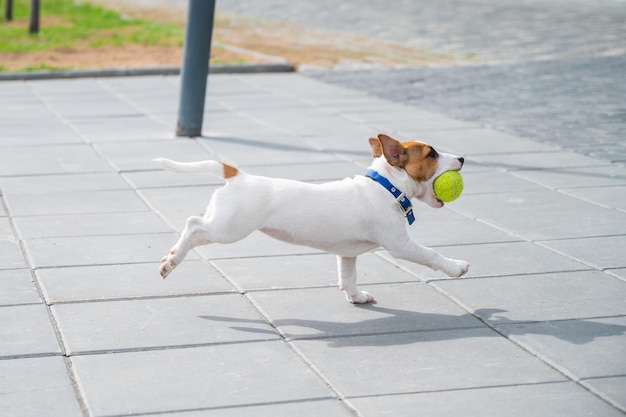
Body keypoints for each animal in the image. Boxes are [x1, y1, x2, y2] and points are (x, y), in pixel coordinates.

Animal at [155, 133, 468, 302]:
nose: (463, 158)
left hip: (222, 223)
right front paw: (457, 267)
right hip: (229, 229)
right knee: (193, 225)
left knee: (195, 228)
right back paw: (172, 260)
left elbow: (348, 276)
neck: (385, 185)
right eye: (432, 153)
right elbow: (430, 254)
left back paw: (171, 257)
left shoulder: (347, 254)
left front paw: (356, 297)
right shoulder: (400, 245)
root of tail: (238, 175)